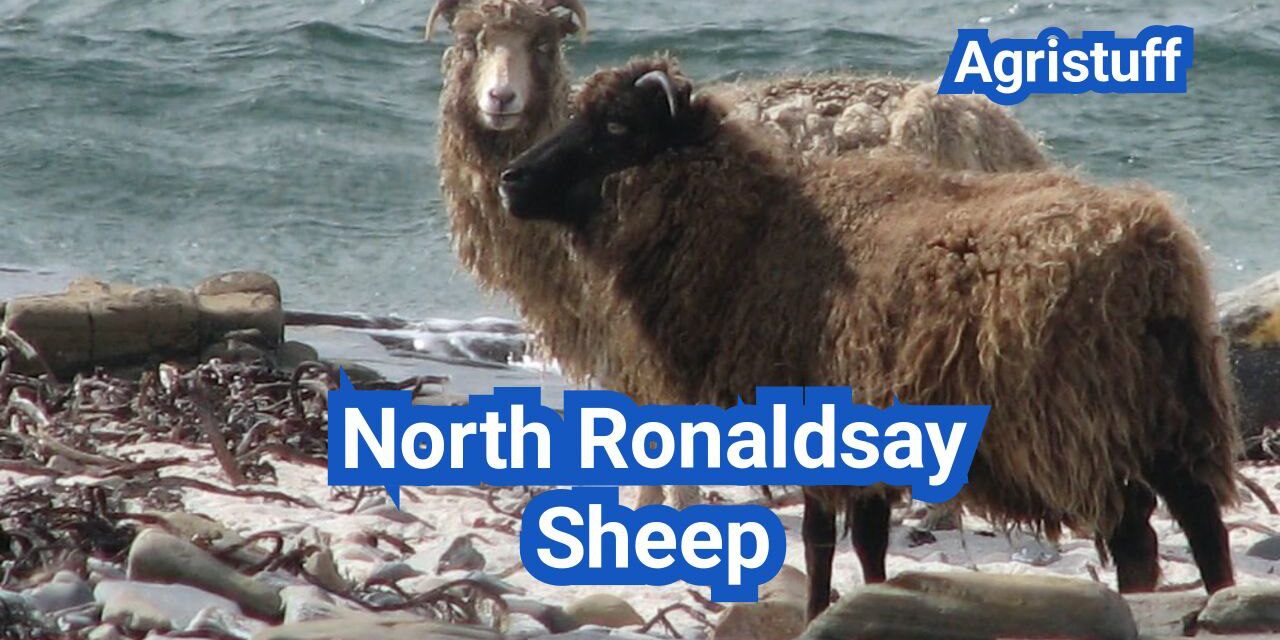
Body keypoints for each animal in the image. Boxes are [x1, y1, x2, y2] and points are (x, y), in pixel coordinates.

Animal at [498, 56, 1242, 620]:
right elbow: (870, 542)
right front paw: (878, 603)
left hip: (1086, 426)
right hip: (1175, 417)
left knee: (1136, 537)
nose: (511, 180)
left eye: (617, 125)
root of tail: (1152, 246)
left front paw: (820, 610)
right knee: (1202, 527)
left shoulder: (811, 419)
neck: (756, 236)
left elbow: (823, 541)